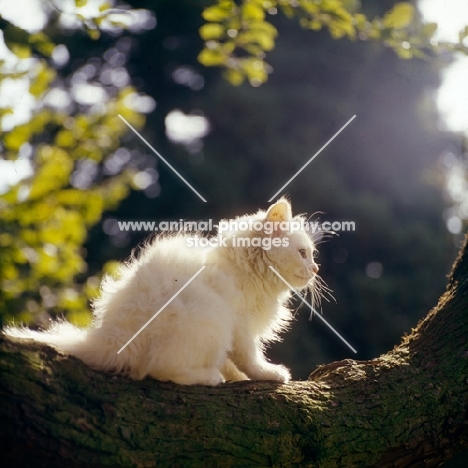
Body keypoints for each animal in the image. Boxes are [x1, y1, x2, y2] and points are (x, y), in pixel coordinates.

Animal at [5, 199, 322, 386]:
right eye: (302, 253)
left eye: (312, 254)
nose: (316, 268)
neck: (242, 269)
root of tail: (109, 337)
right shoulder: (239, 324)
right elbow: (249, 357)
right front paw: (269, 374)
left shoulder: (237, 330)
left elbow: (234, 362)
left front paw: (238, 378)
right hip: (209, 317)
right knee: (160, 370)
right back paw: (209, 377)